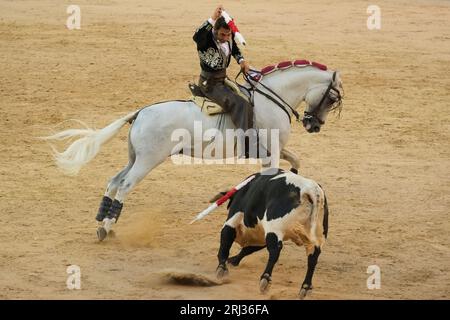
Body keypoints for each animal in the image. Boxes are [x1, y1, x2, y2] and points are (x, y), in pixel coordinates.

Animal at [43, 60, 344, 240]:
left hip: (134, 157)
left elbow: (296, 161)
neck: (271, 99)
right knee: (126, 184)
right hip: (148, 160)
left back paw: (102, 222)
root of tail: (140, 112)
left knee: (114, 180)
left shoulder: (277, 150)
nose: (313, 125)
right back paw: (106, 227)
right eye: (331, 98)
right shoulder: (269, 155)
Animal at [214, 169, 326, 298]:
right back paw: (306, 287)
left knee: (275, 251)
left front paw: (222, 268)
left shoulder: (232, 220)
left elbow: (225, 243)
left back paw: (265, 279)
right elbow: (247, 249)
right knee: (313, 257)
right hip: (316, 237)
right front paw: (233, 260)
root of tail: (311, 189)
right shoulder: (261, 238)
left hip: (274, 229)